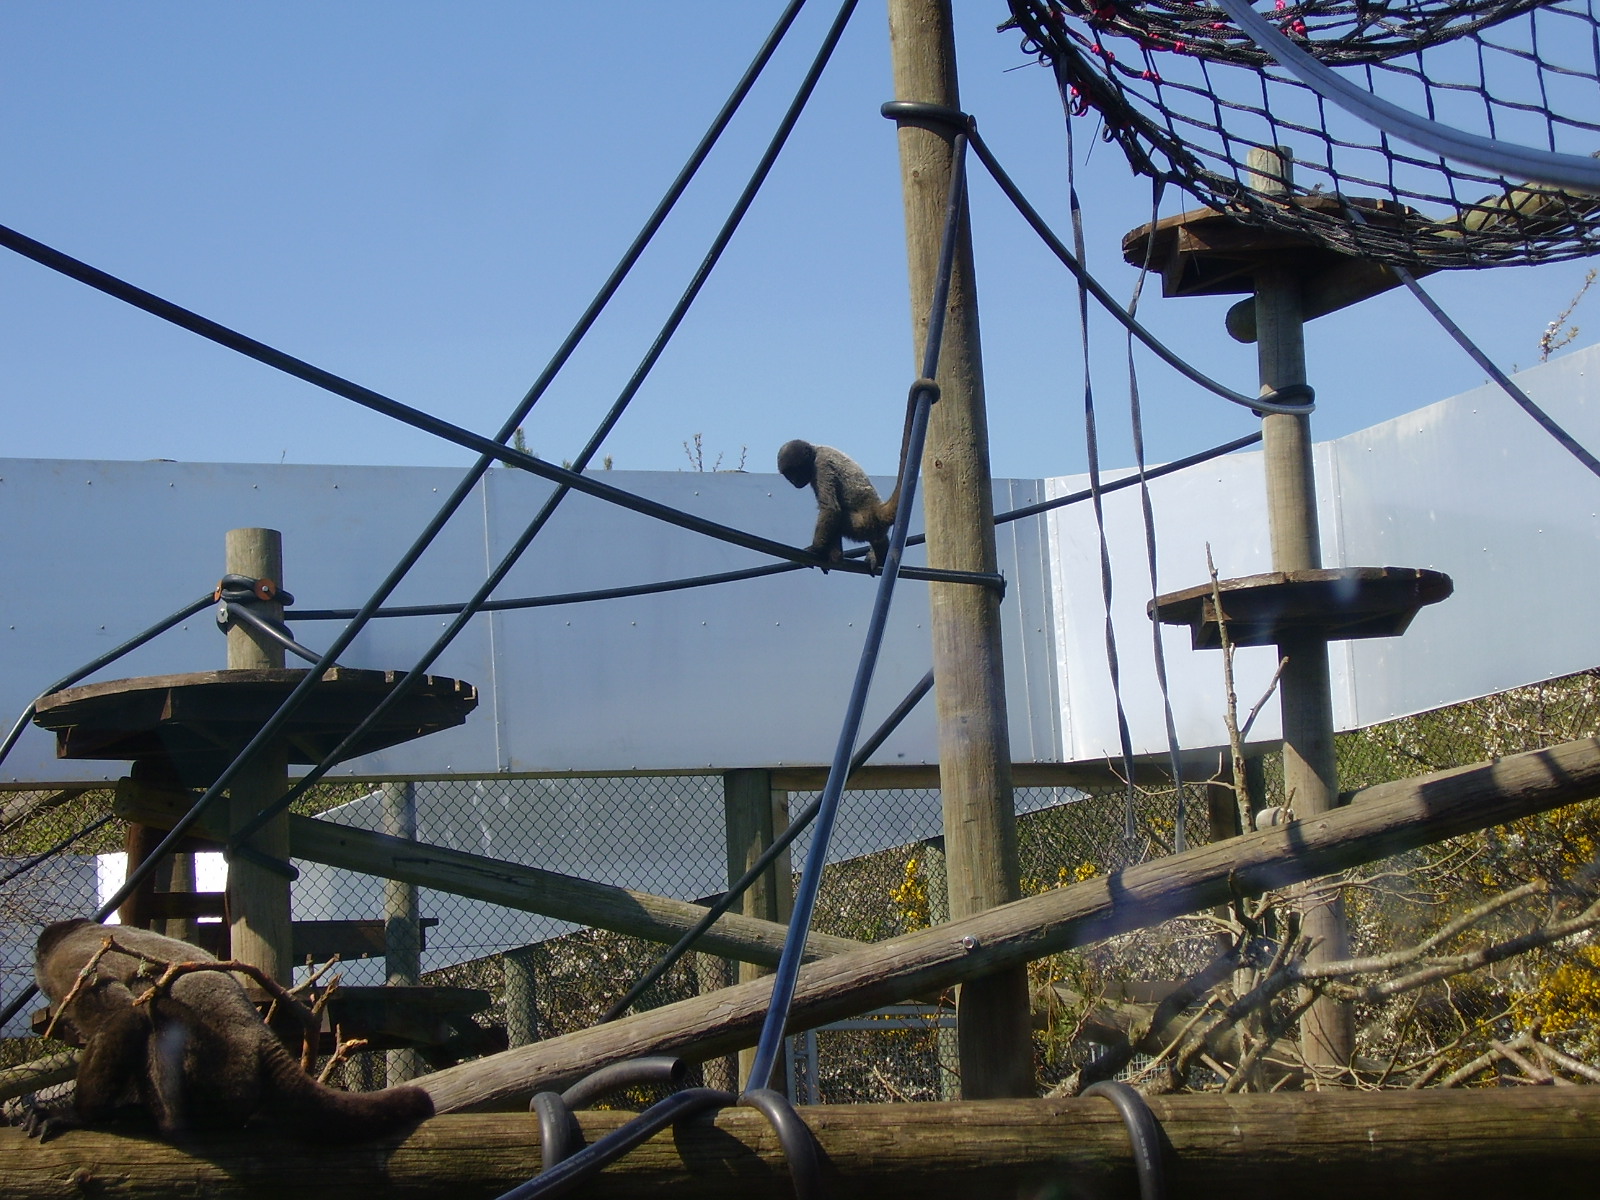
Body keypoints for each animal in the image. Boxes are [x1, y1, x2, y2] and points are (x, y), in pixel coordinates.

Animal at [22, 918, 434, 1143]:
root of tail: (263, 1040)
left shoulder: (70, 967)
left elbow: (126, 1014)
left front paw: (79, 1116)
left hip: (220, 1070)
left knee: (155, 1007)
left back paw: (163, 1122)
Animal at [777, 440, 901, 572]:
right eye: (789, 475)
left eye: (795, 471)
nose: (794, 481)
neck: (816, 451)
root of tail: (876, 508)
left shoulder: (821, 465)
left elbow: (830, 508)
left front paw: (815, 549)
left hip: (861, 523)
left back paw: (836, 557)